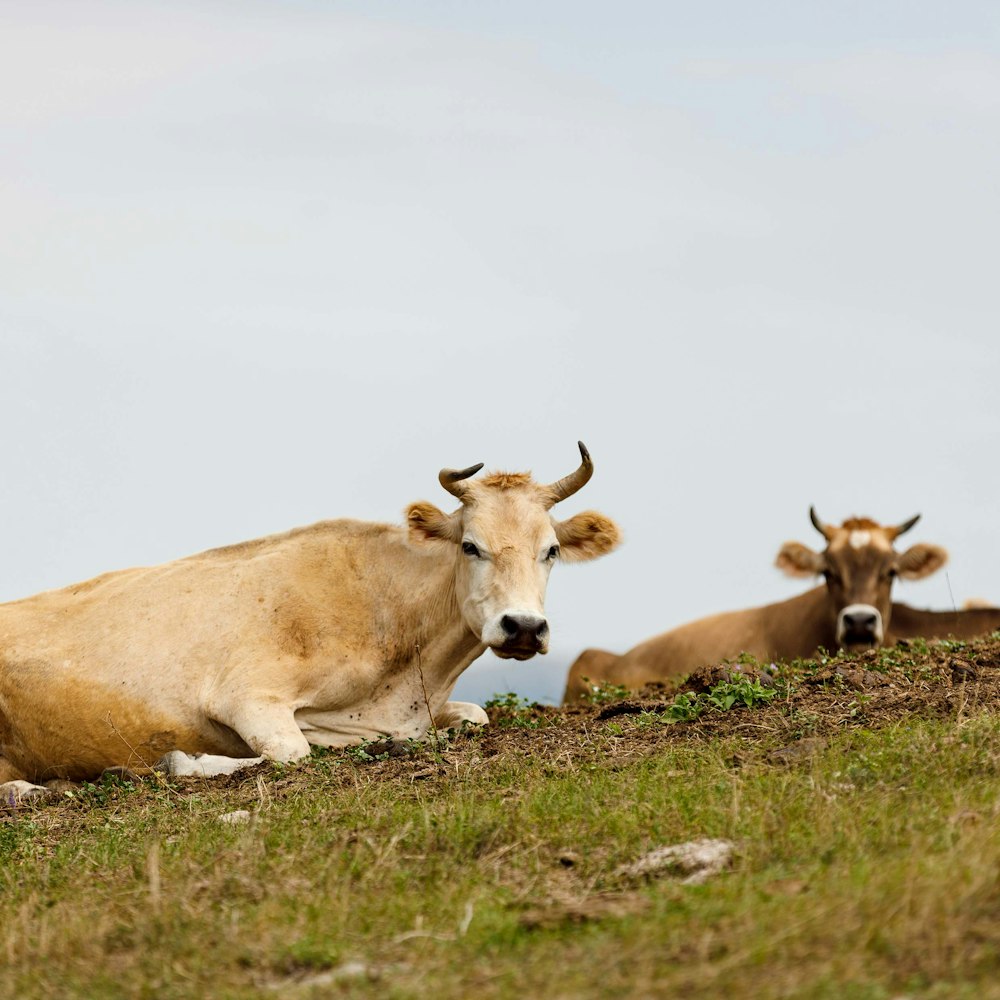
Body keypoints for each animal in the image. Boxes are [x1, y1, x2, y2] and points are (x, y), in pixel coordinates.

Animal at [0, 444, 616, 796]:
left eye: (551, 550)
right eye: (470, 546)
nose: (523, 627)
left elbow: (477, 715)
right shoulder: (249, 696)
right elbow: (296, 751)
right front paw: (187, 760)